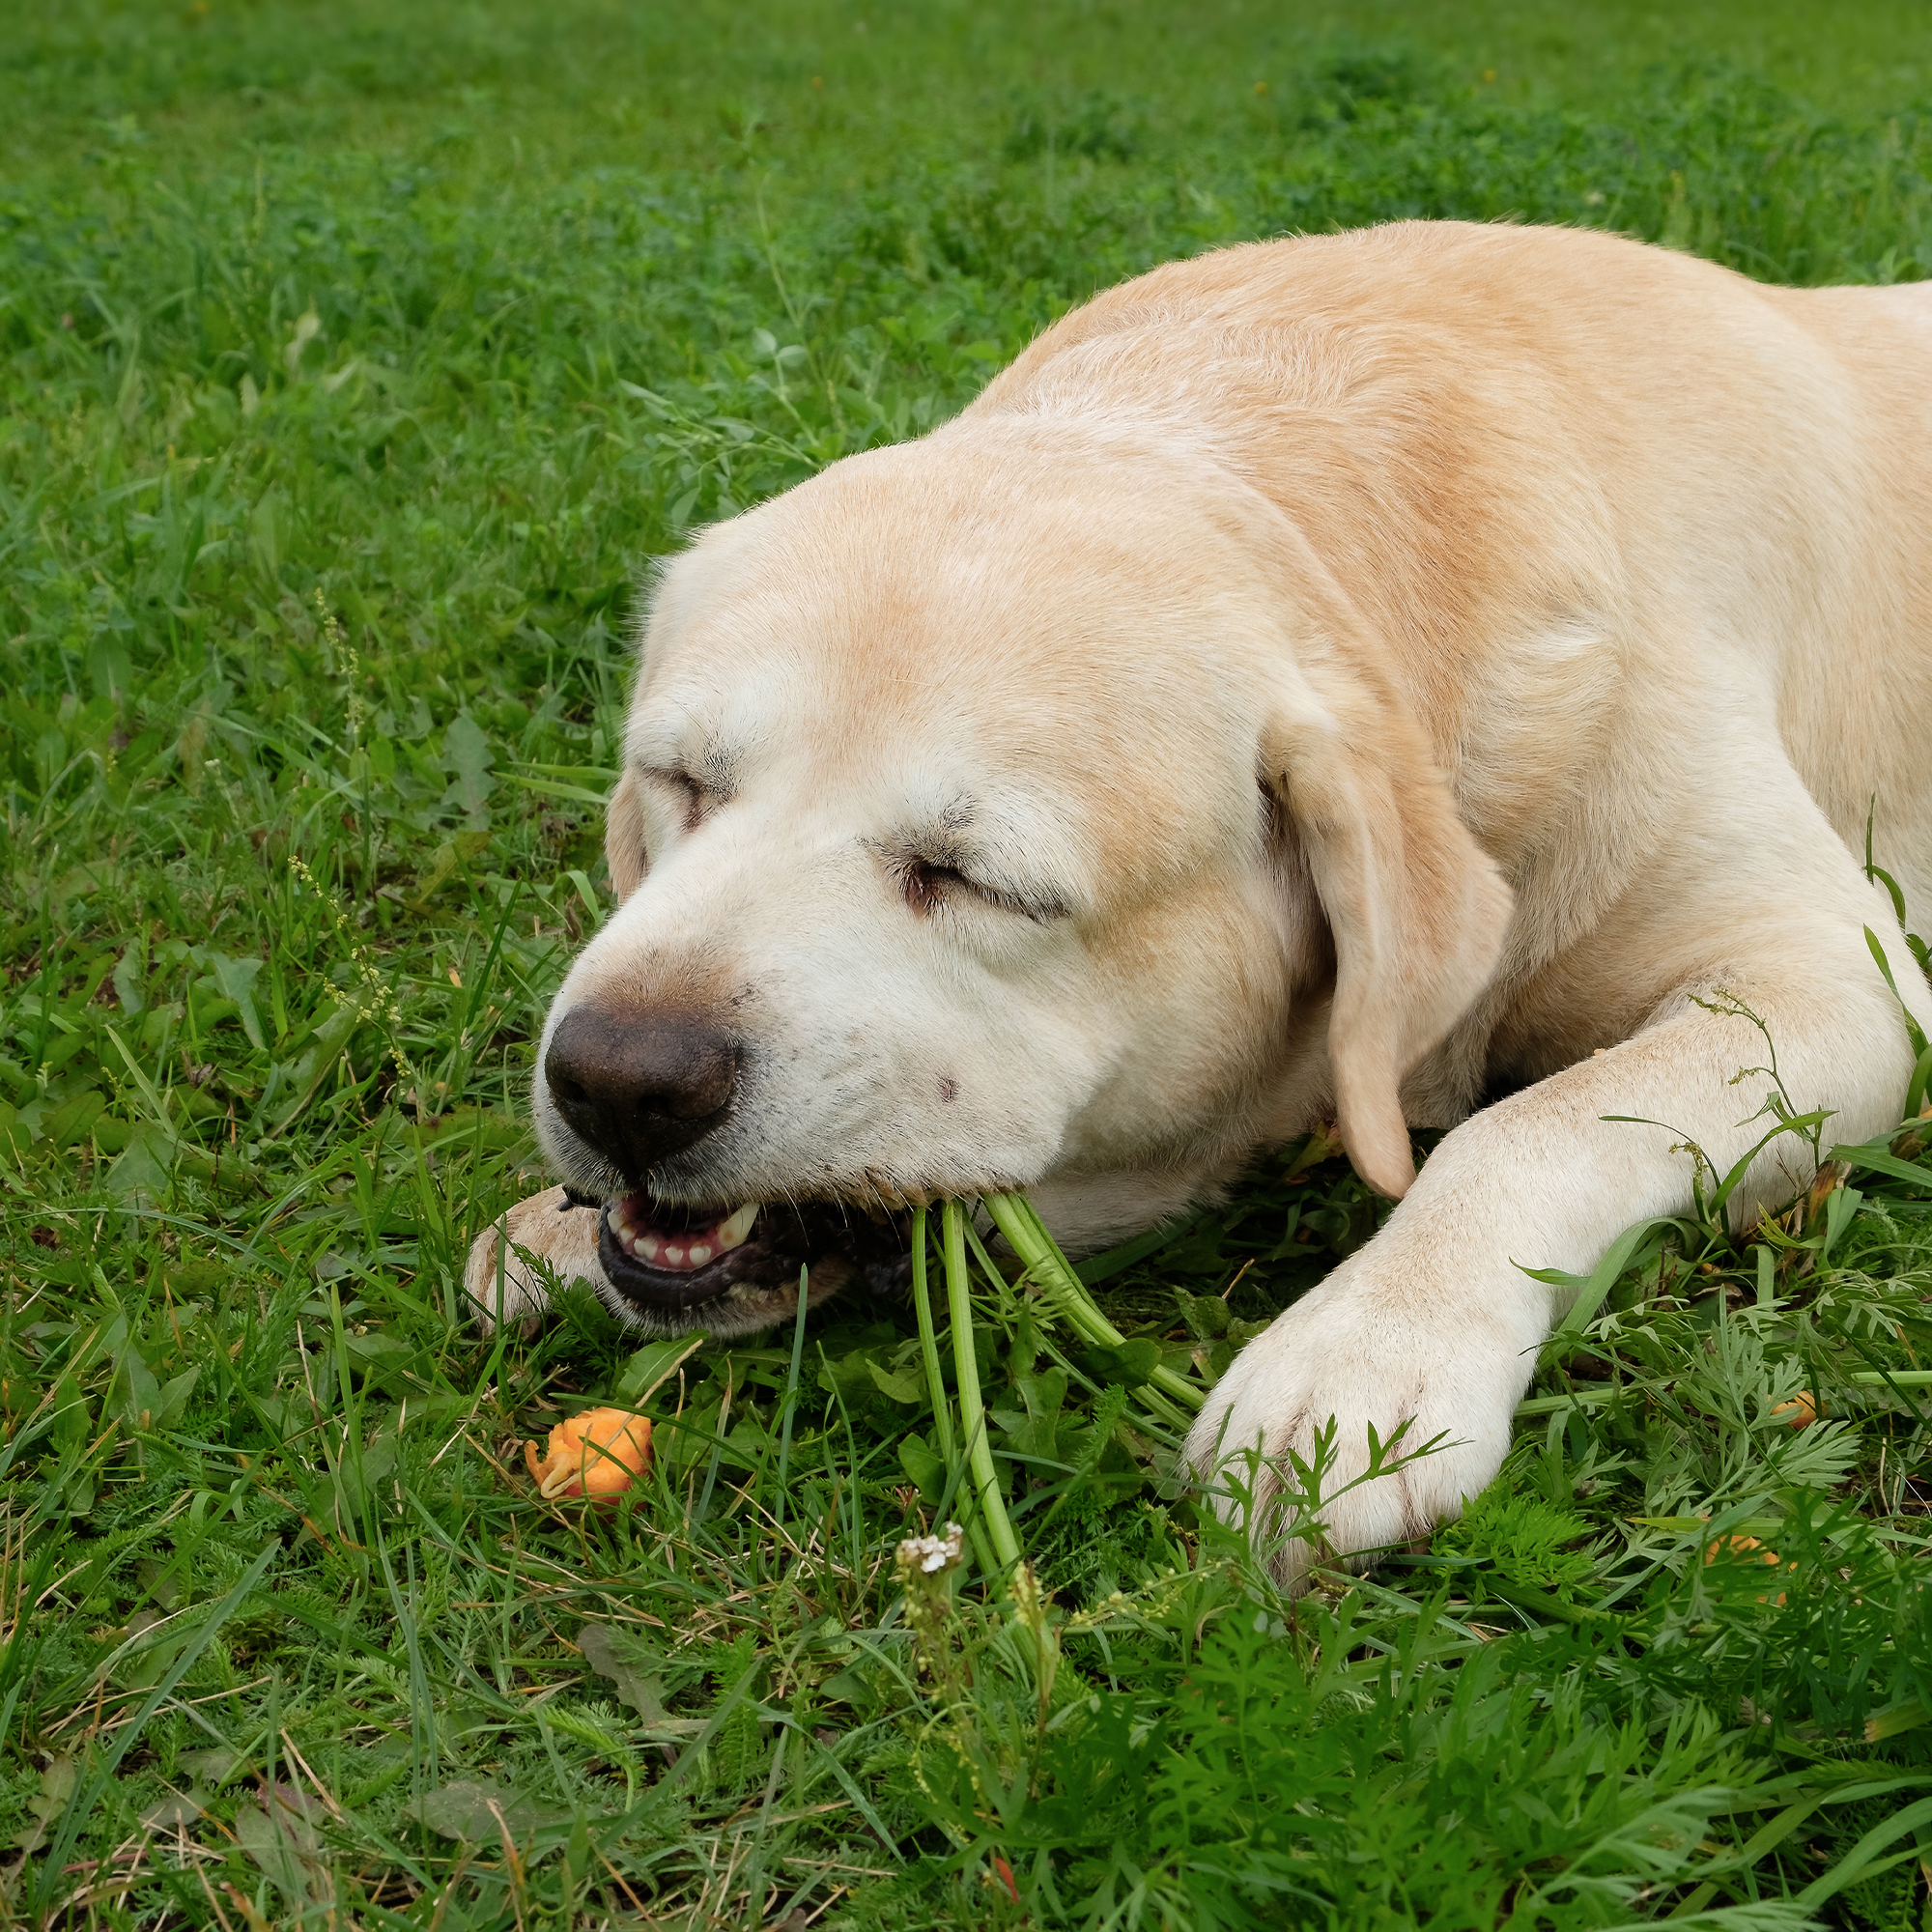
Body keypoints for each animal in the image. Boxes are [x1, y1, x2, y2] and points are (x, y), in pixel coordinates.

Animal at [468, 222, 1932, 1569]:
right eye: (683, 779)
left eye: (977, 879)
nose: (617, 1082)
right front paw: (553, 1227)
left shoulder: (1828, 984)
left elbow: (1529, 1127)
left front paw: (1359, 1359)